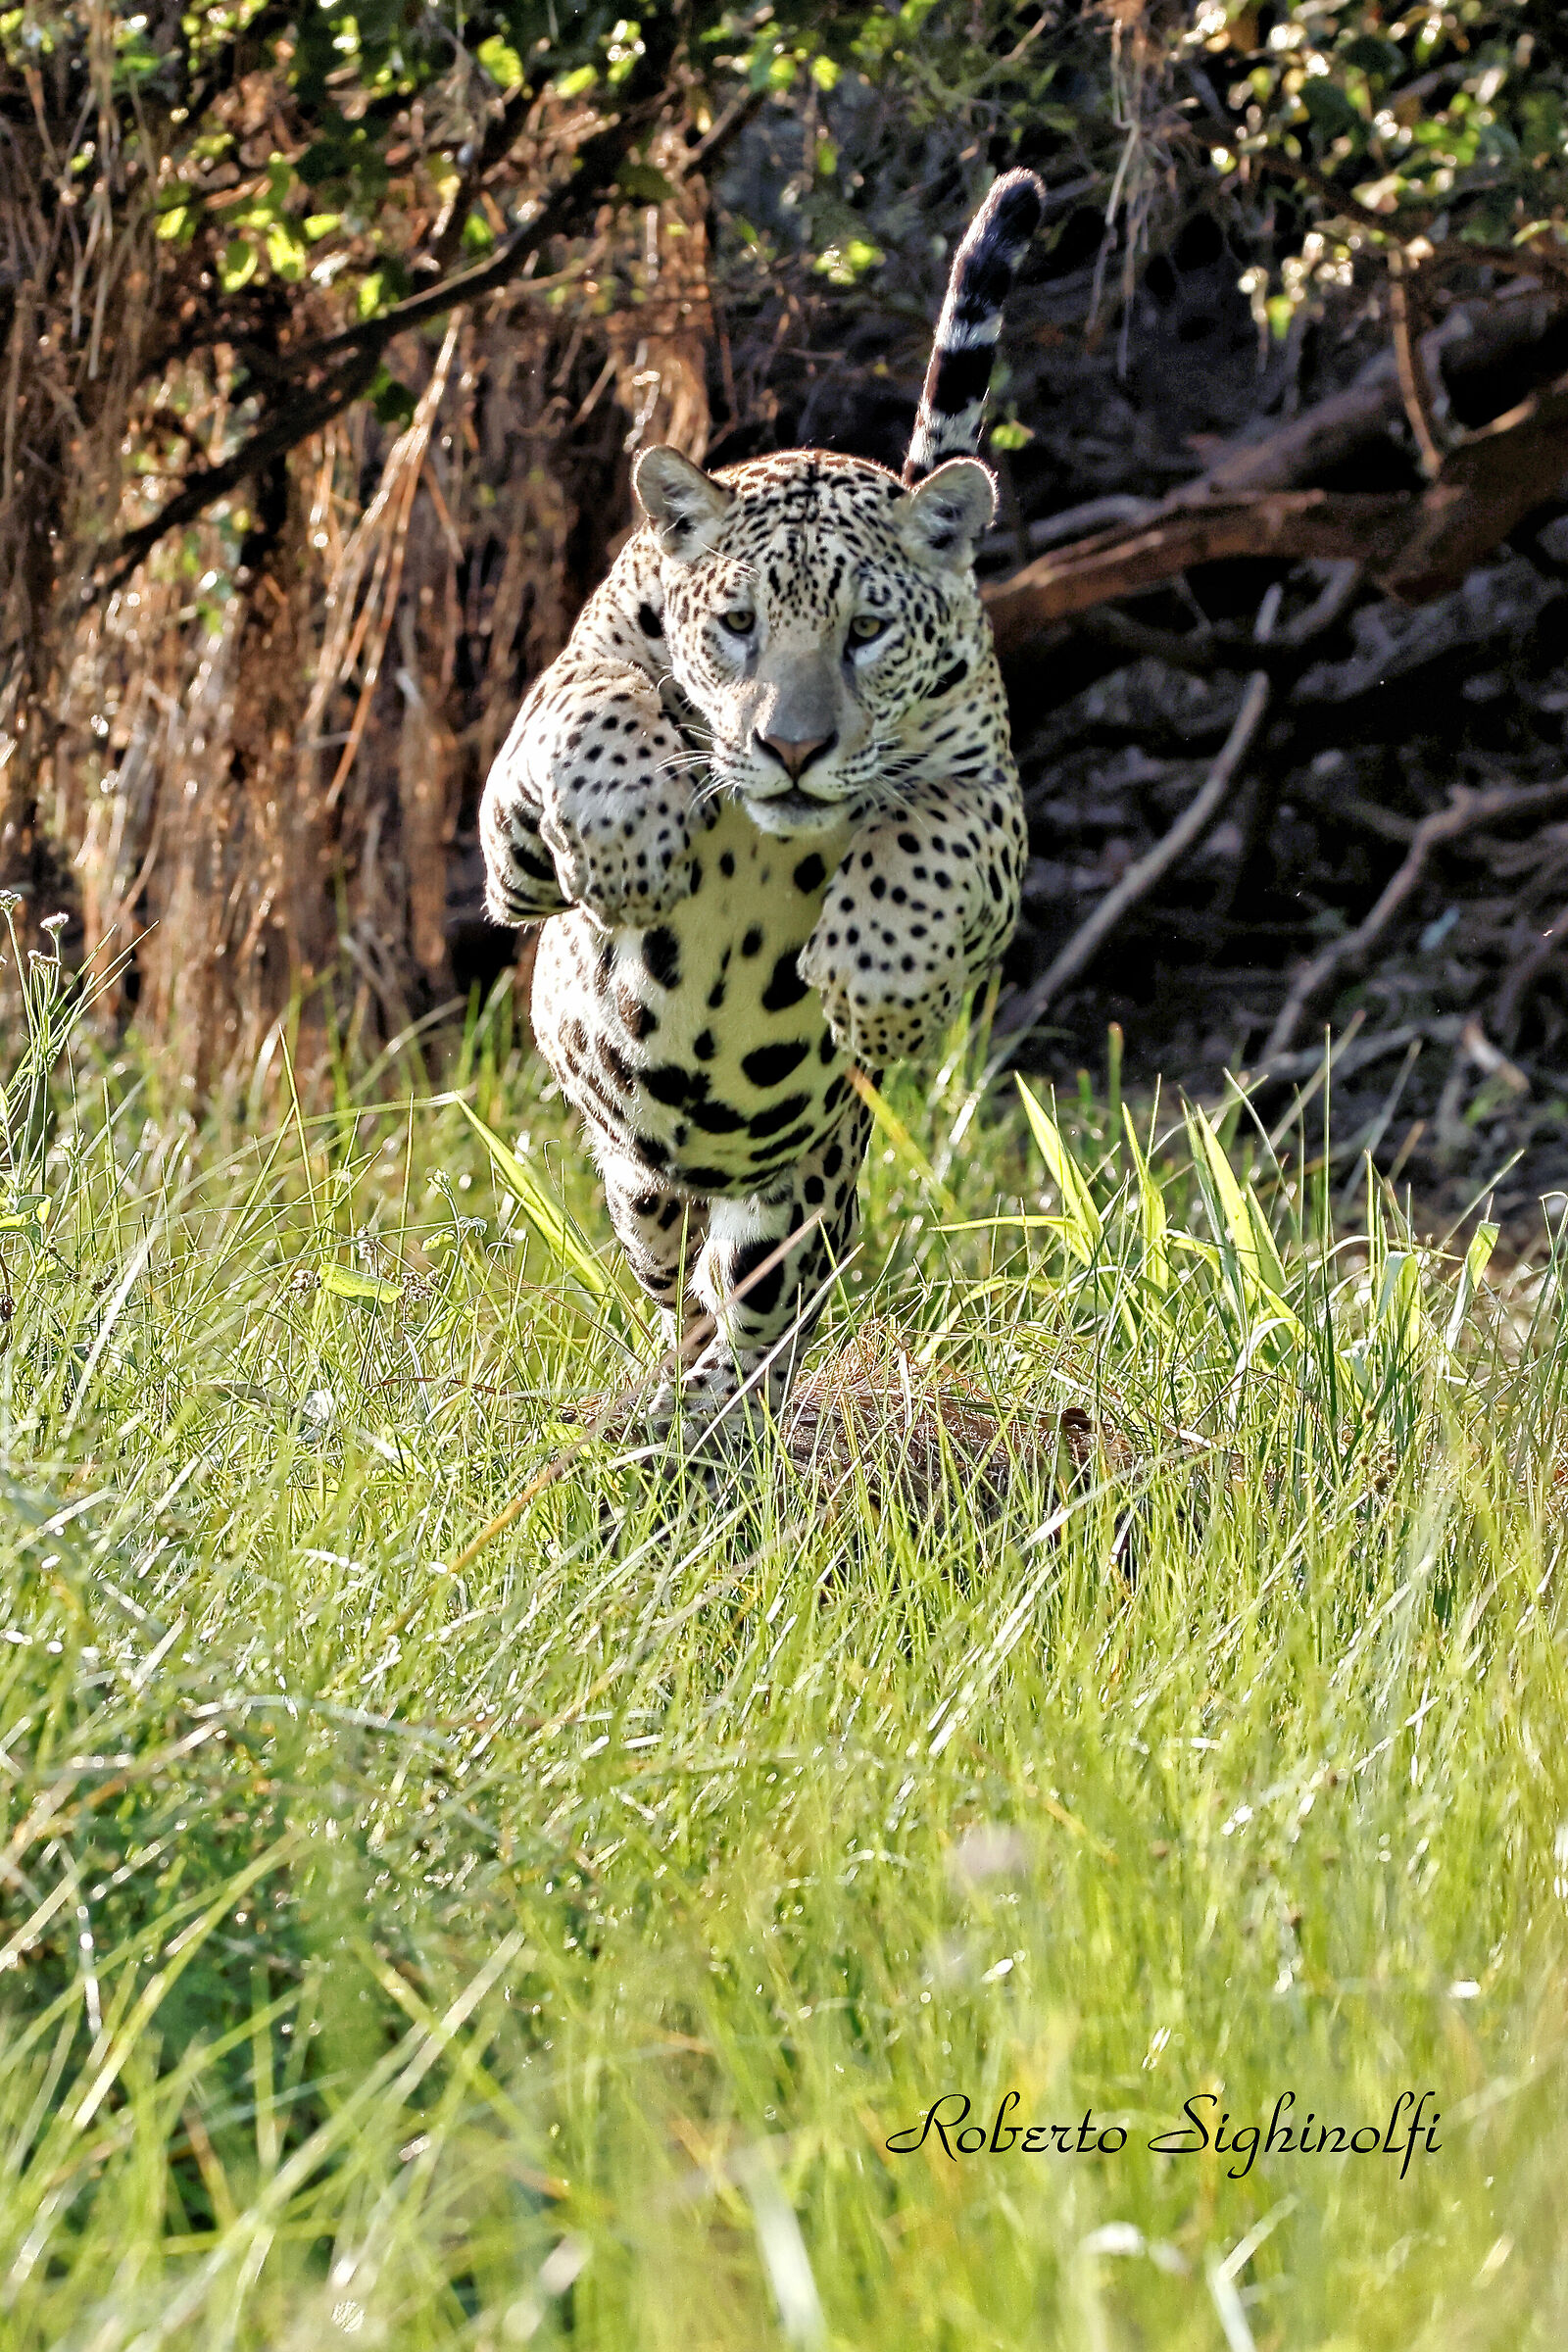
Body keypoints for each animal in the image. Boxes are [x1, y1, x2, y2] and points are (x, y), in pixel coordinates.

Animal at [480, 169, 1043, 1444]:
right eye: (737, 623)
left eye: (867, 631)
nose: (790, 748)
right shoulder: (517, 829)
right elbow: (598, 709)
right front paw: (633, 847)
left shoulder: (989, 801)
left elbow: (931, 846)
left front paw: (870, 990)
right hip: (642, 1186)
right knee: (667, 1265)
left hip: (800, 1201)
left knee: (748, 1316)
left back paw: (702, 1433)